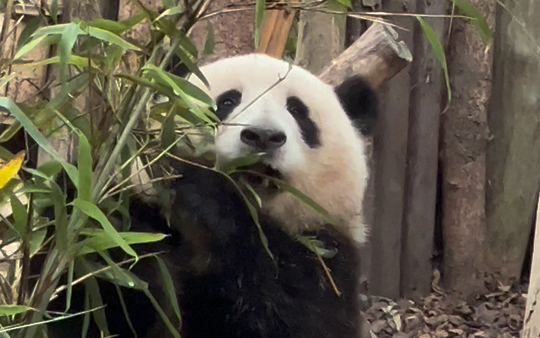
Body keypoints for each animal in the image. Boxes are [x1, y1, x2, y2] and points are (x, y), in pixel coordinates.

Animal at [45, 54, 376, 338]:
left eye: (297, 111)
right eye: (227, 101)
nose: (263, 136)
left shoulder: (327, 259)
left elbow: (292, 313)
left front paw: (204, 194)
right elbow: (88, 299)